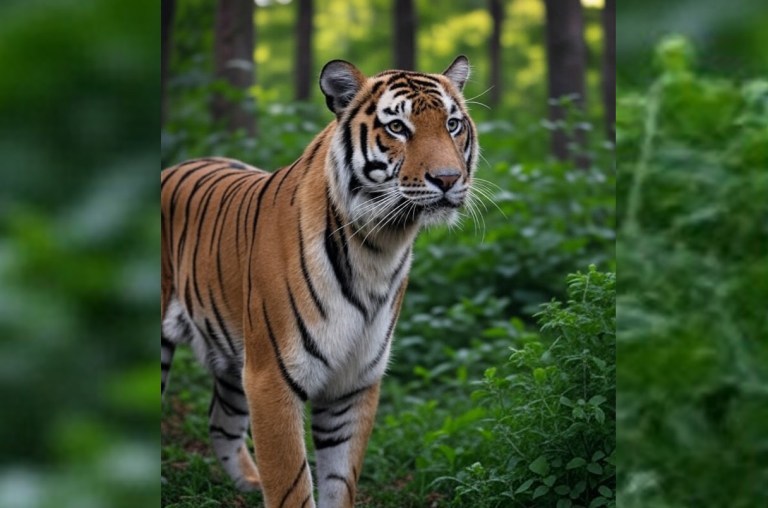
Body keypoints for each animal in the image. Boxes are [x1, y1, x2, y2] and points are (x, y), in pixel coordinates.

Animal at [161, 55, 478, 508]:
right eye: (398, 127)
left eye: (452, 124)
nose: (449, 179)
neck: (379, 247)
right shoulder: (271, 376)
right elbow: (291, 482)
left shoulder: (355, 381)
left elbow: (339, 480)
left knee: (221, 422)